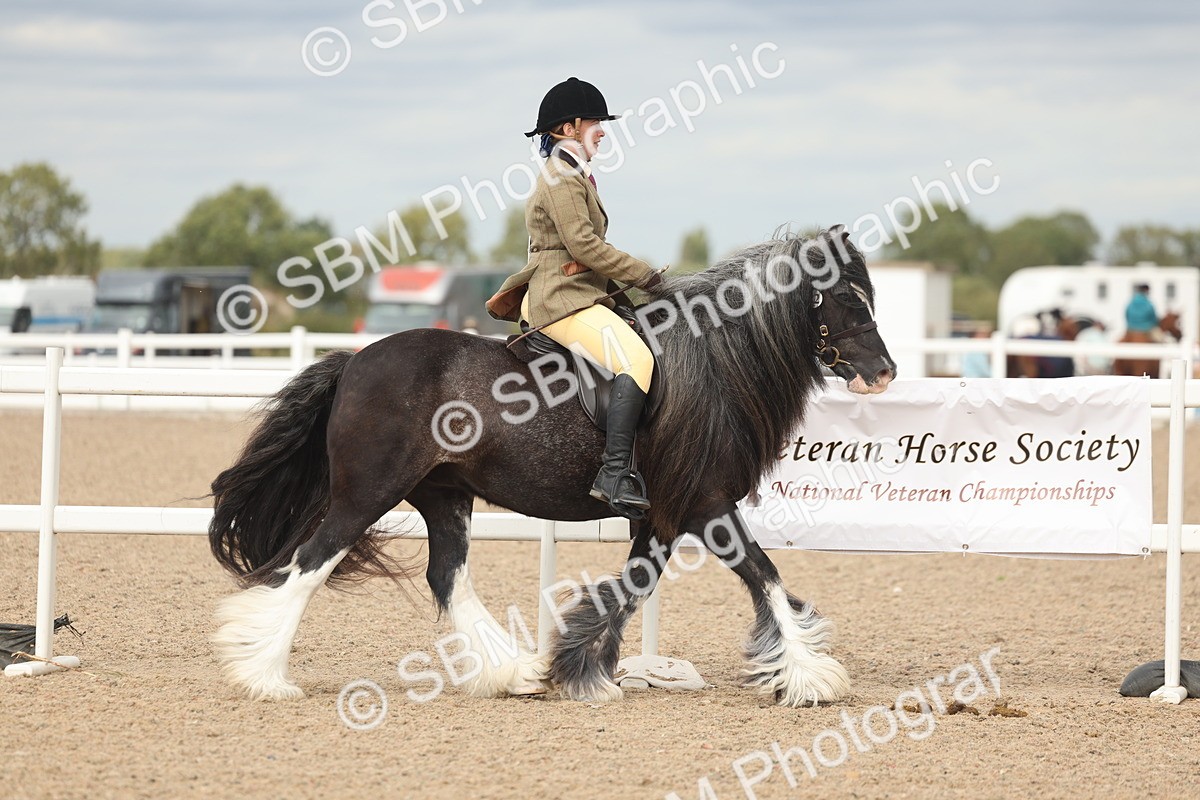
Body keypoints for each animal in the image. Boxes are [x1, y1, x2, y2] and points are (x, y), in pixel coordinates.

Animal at [207, 226, 896, 707]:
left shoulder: (662, 516)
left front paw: (584, 668)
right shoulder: (706, 504)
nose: (885, 372)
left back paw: (511, 672)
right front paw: (811, 677)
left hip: (443, 493)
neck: (712, 365)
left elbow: (633, 586)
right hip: (366, 494)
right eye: (847, 299)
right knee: (308, 565)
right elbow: (764, 573)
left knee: (447, 575)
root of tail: (353, 361)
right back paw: (264, 675)